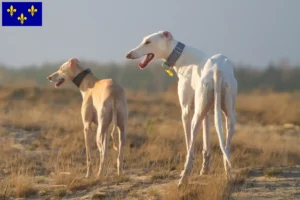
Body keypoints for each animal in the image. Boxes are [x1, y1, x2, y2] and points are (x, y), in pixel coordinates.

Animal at [125, 30, 238, 185]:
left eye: (148, 42)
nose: (128, 54)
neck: (182, 57)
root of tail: (217, 70)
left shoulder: (185, 110)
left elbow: (189, 143)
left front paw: (193, 168)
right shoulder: (207, 112)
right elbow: (206, 143)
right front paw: (205, 170)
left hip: (196, 116)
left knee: (191, 147)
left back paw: (184, 177)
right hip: (227, 115)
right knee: (226, 147)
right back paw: (229, 174)